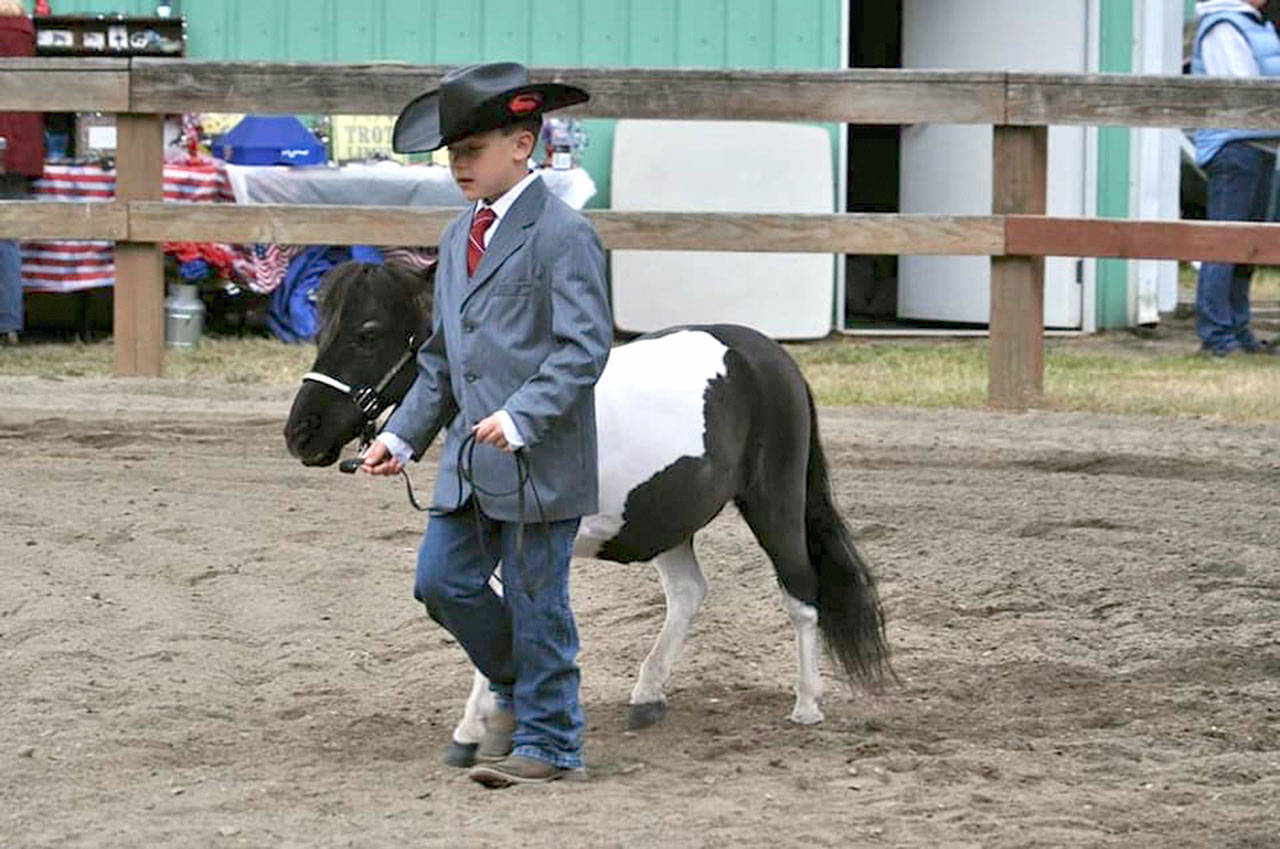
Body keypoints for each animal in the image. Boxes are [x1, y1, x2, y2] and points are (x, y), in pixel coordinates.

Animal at [284, 260, 889, 767]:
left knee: (801, 594)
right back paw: (647, 696)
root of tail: (767, 354)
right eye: (319, 330)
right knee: (688, 594)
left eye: (367, 333)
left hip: (774, 502)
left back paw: (807, 705)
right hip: (665, 516)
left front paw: (475, 731)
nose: (300, 434)